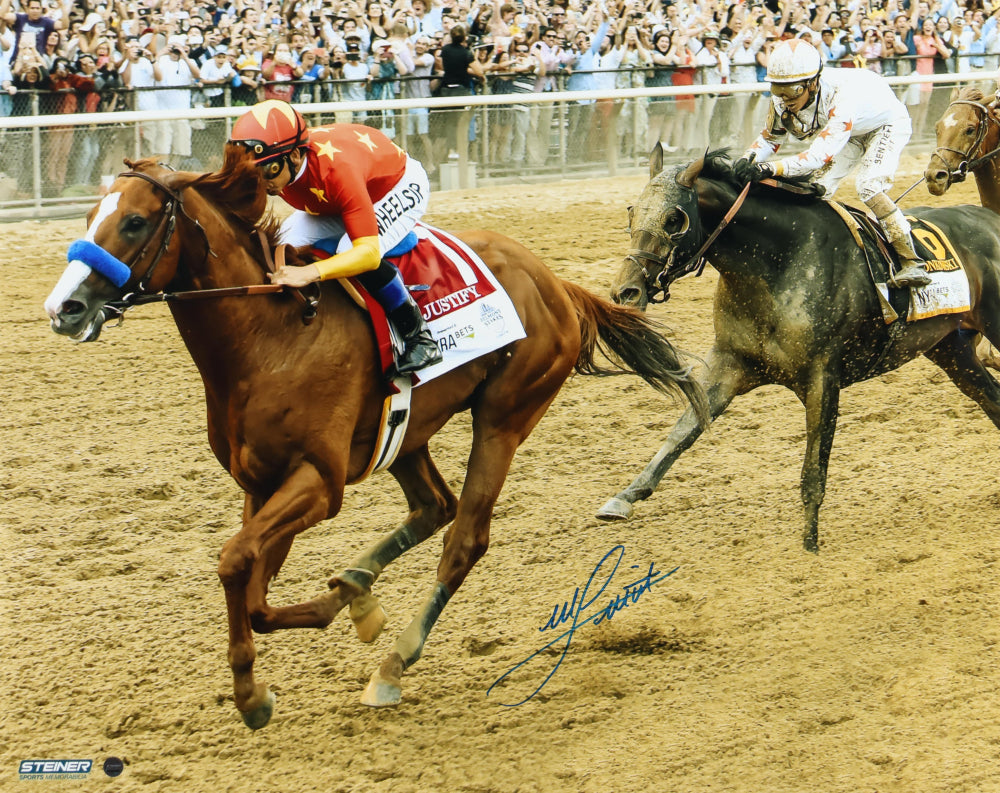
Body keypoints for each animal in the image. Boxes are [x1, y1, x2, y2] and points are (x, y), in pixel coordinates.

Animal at [43, 148, 708, 732]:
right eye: (88, 216)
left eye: (134, 221)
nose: (64, 308)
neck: (271, 335)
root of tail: (556, 282)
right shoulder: (261, 483)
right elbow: (253, 590)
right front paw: (335, 618)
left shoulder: (319, 482)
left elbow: (234, 561)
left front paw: (253, 696)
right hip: (408, 431)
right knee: (434, 506)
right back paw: (358, 588)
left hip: (505, 417)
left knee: (465, 539)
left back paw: (392, 664)